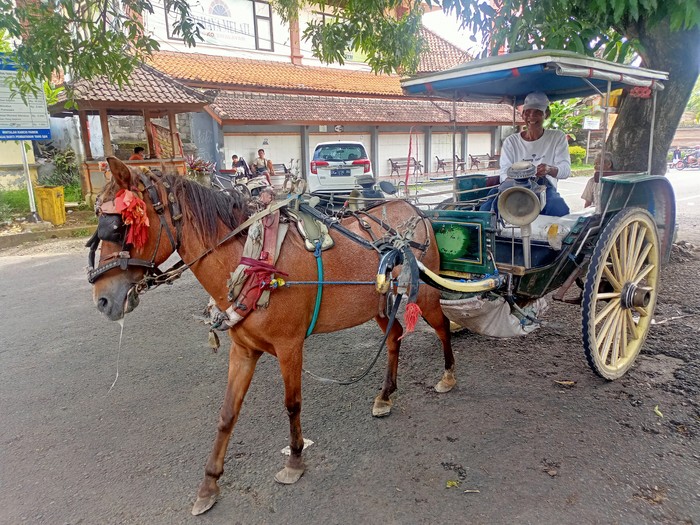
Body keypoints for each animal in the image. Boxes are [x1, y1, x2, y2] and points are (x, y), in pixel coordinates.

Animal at [90, 157, 456, 516]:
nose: (103, 300)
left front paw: (295, 460)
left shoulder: (289, 346)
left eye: (119, 227)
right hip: (378, 304)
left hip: (424, 296)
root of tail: (414, 209)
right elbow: (227, 414)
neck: (256, 261)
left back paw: (448, 375)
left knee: (441, 327)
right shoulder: (242, 349)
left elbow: (292, 405)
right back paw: (385, 395)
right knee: (394, 337)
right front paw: (209, 484)